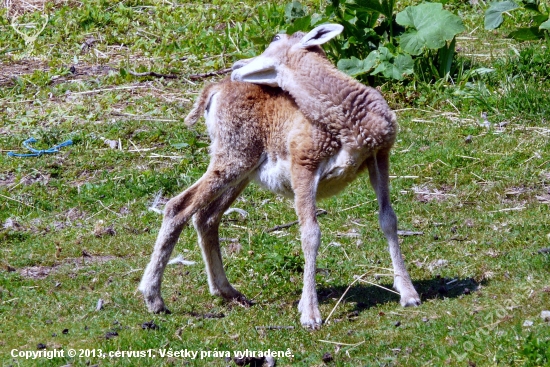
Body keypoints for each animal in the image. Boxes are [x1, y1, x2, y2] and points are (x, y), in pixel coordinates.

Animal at [139, 24, 422, 330]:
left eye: (275, 39)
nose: (237, 65)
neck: (344, 120)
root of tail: (215, 90)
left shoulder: (379, 156)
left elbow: (388, 219)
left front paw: (409, 295)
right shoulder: (304, 166)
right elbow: (311, 233)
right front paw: (310, 315)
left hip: (241, 171)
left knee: (206, 217)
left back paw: (229, 292)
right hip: (231, 161)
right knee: (178, 207)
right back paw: (154, 299)